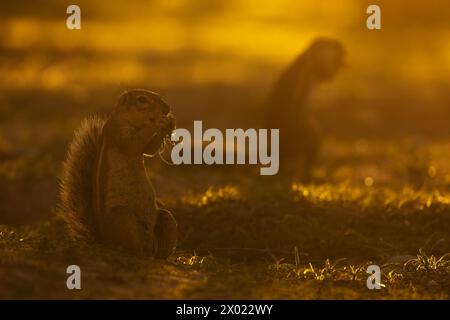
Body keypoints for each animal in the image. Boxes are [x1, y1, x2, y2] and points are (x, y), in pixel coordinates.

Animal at [56, 89, 176, 258]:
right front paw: (158, 122)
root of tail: (103, 239)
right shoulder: (119, 132)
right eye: (142, 100)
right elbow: (134, 142)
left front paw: (167, 123)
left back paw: (162, 255)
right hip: (123, 217)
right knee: (132, 246)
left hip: (165, 218)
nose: (167, 108)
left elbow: (149, 149)